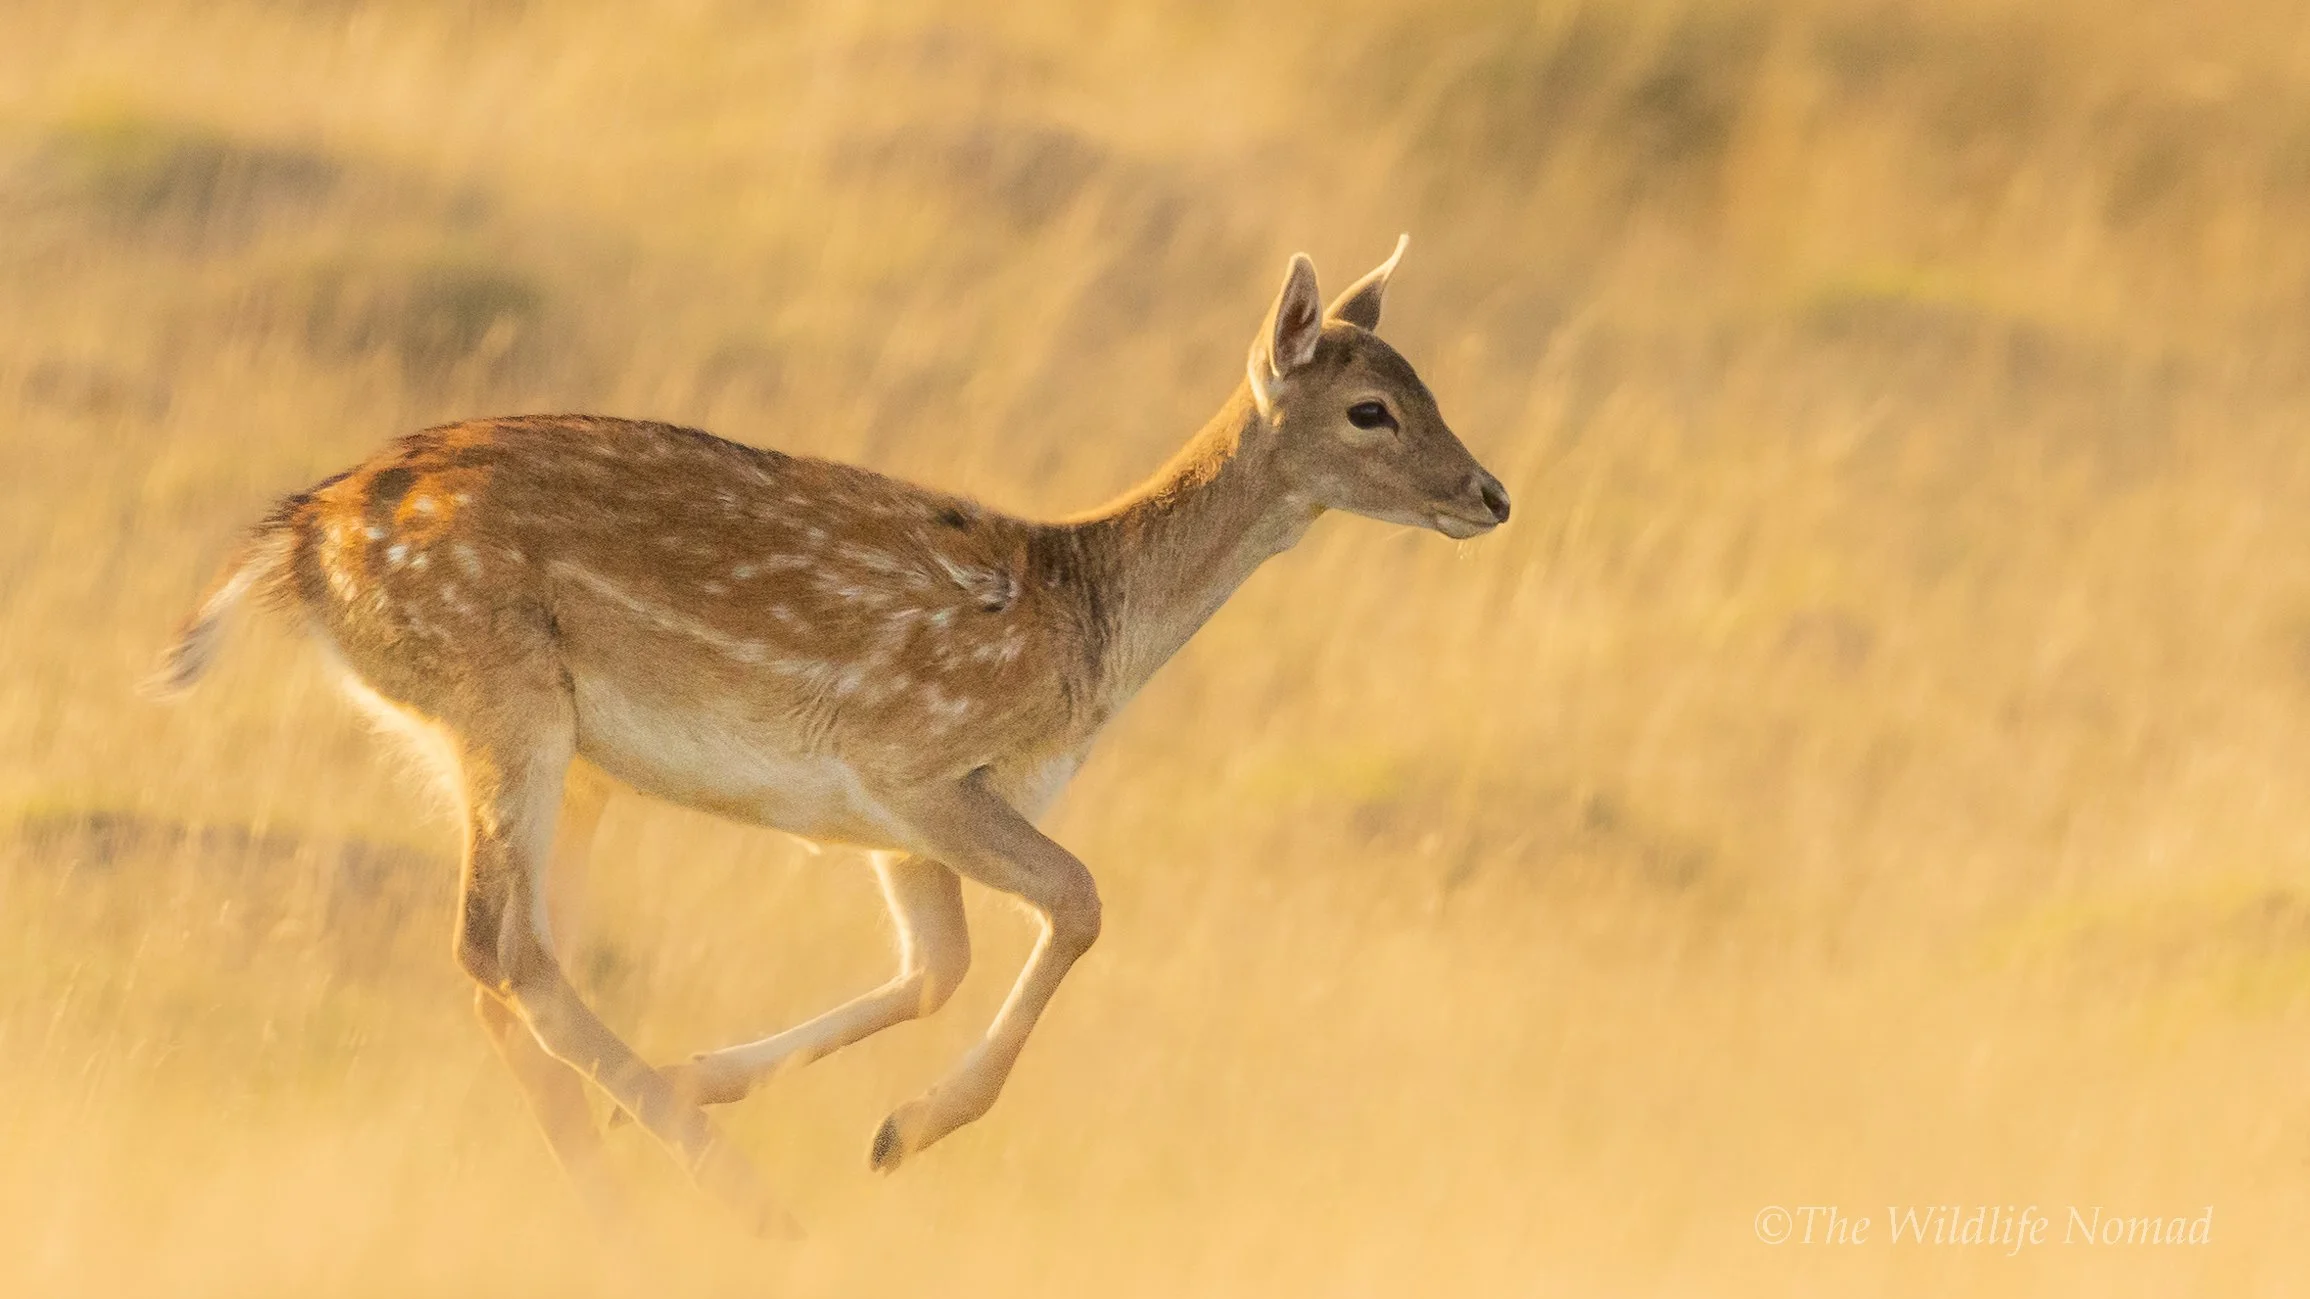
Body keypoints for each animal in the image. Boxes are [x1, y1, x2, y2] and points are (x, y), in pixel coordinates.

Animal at [150, 237, 1511, 1233]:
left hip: (556, 755)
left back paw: (616, 1184)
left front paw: (743, 1086)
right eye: (1373, 410)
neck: (1089, 634)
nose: (1491, 494)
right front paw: (899, 1131)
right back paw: (733, 1198)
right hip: (503, 690)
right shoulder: (912, 762)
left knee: (515, 960)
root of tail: (300, 543)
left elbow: (936, 967)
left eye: (1428, 384)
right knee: (501, 948)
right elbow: (1077, 902)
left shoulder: (898, 824)